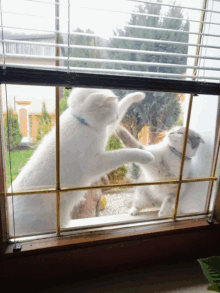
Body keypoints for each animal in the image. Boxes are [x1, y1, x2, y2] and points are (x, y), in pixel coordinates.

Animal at [7, 87, 154, 235]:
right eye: (113, 110)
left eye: (118, 111)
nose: (118, 116)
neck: (81, 122)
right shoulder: (97, 162)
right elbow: (124, 153)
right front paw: (146, 156)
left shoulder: (106, 132)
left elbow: (125, 103)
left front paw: (137, 95)